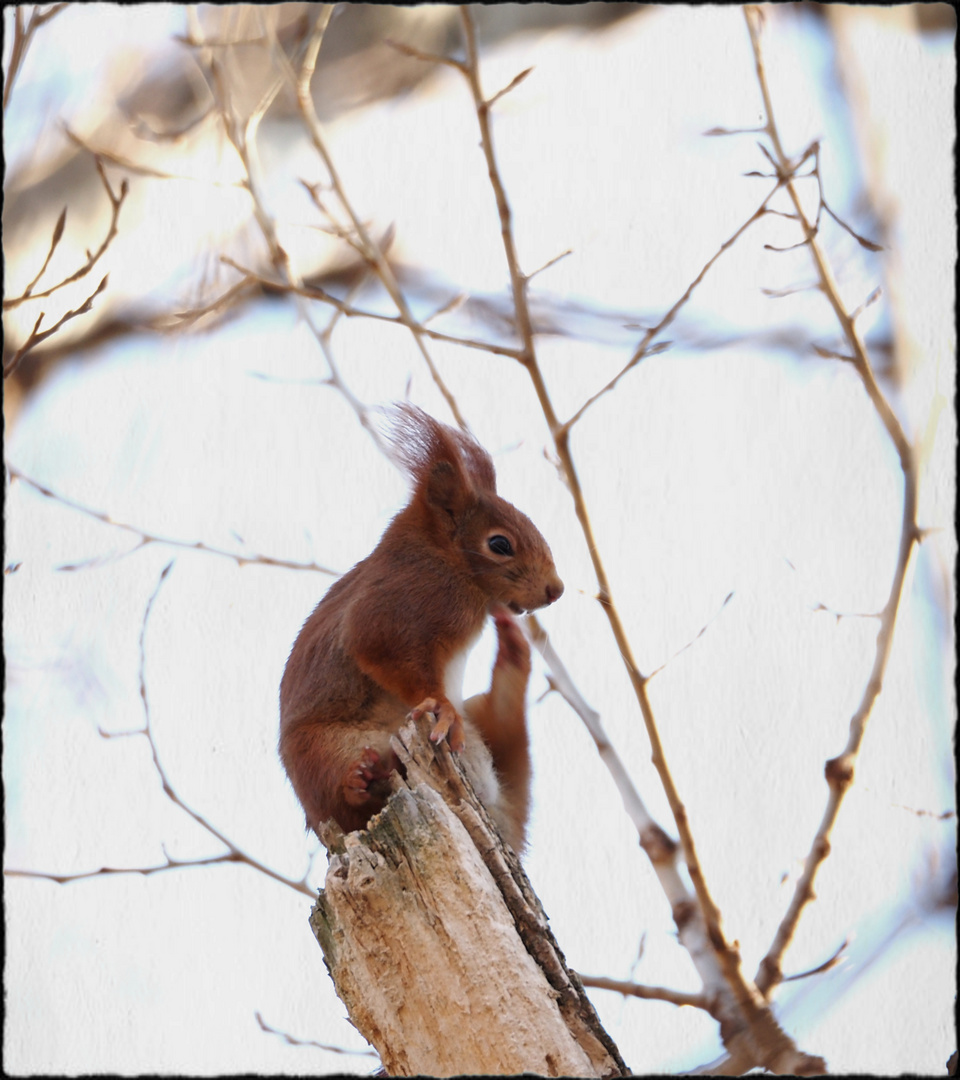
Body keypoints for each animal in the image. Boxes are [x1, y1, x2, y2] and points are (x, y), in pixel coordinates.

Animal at [276, 406, 561, 851]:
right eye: (500, 544)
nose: (556, 590)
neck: (445, 559)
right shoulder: (401, 608)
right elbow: (378, 647)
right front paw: (442, 708)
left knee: (505, 721)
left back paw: (514, 652)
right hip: (317, 754)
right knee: (344, 799)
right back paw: (359, 781)